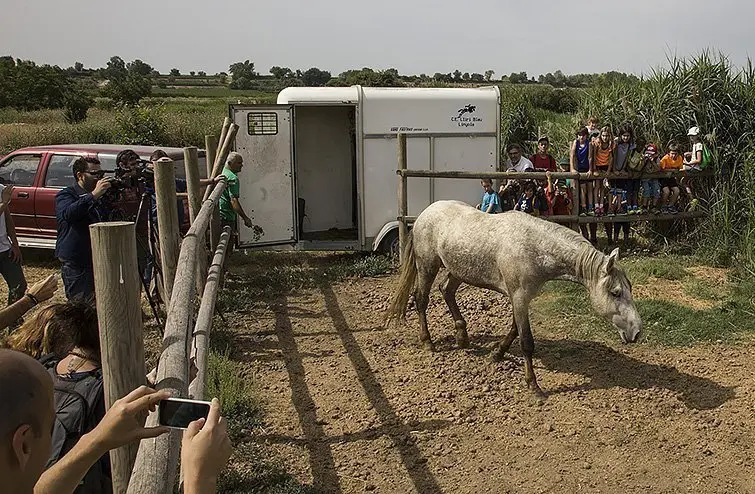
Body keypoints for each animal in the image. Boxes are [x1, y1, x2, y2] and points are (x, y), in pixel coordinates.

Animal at [390, 200, 644, 398]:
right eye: (615, 292)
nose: (637, 331)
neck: (534, 248)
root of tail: (425, 213)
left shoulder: (521, 298)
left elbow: (514, 330)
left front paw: (496, 354)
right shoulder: (519, 297)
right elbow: (526, 342)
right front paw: (534, 386)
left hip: (458, 271)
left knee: (446, 291)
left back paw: (462, 336)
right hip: (427, 266)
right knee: (421, 299)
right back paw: (427, 342)